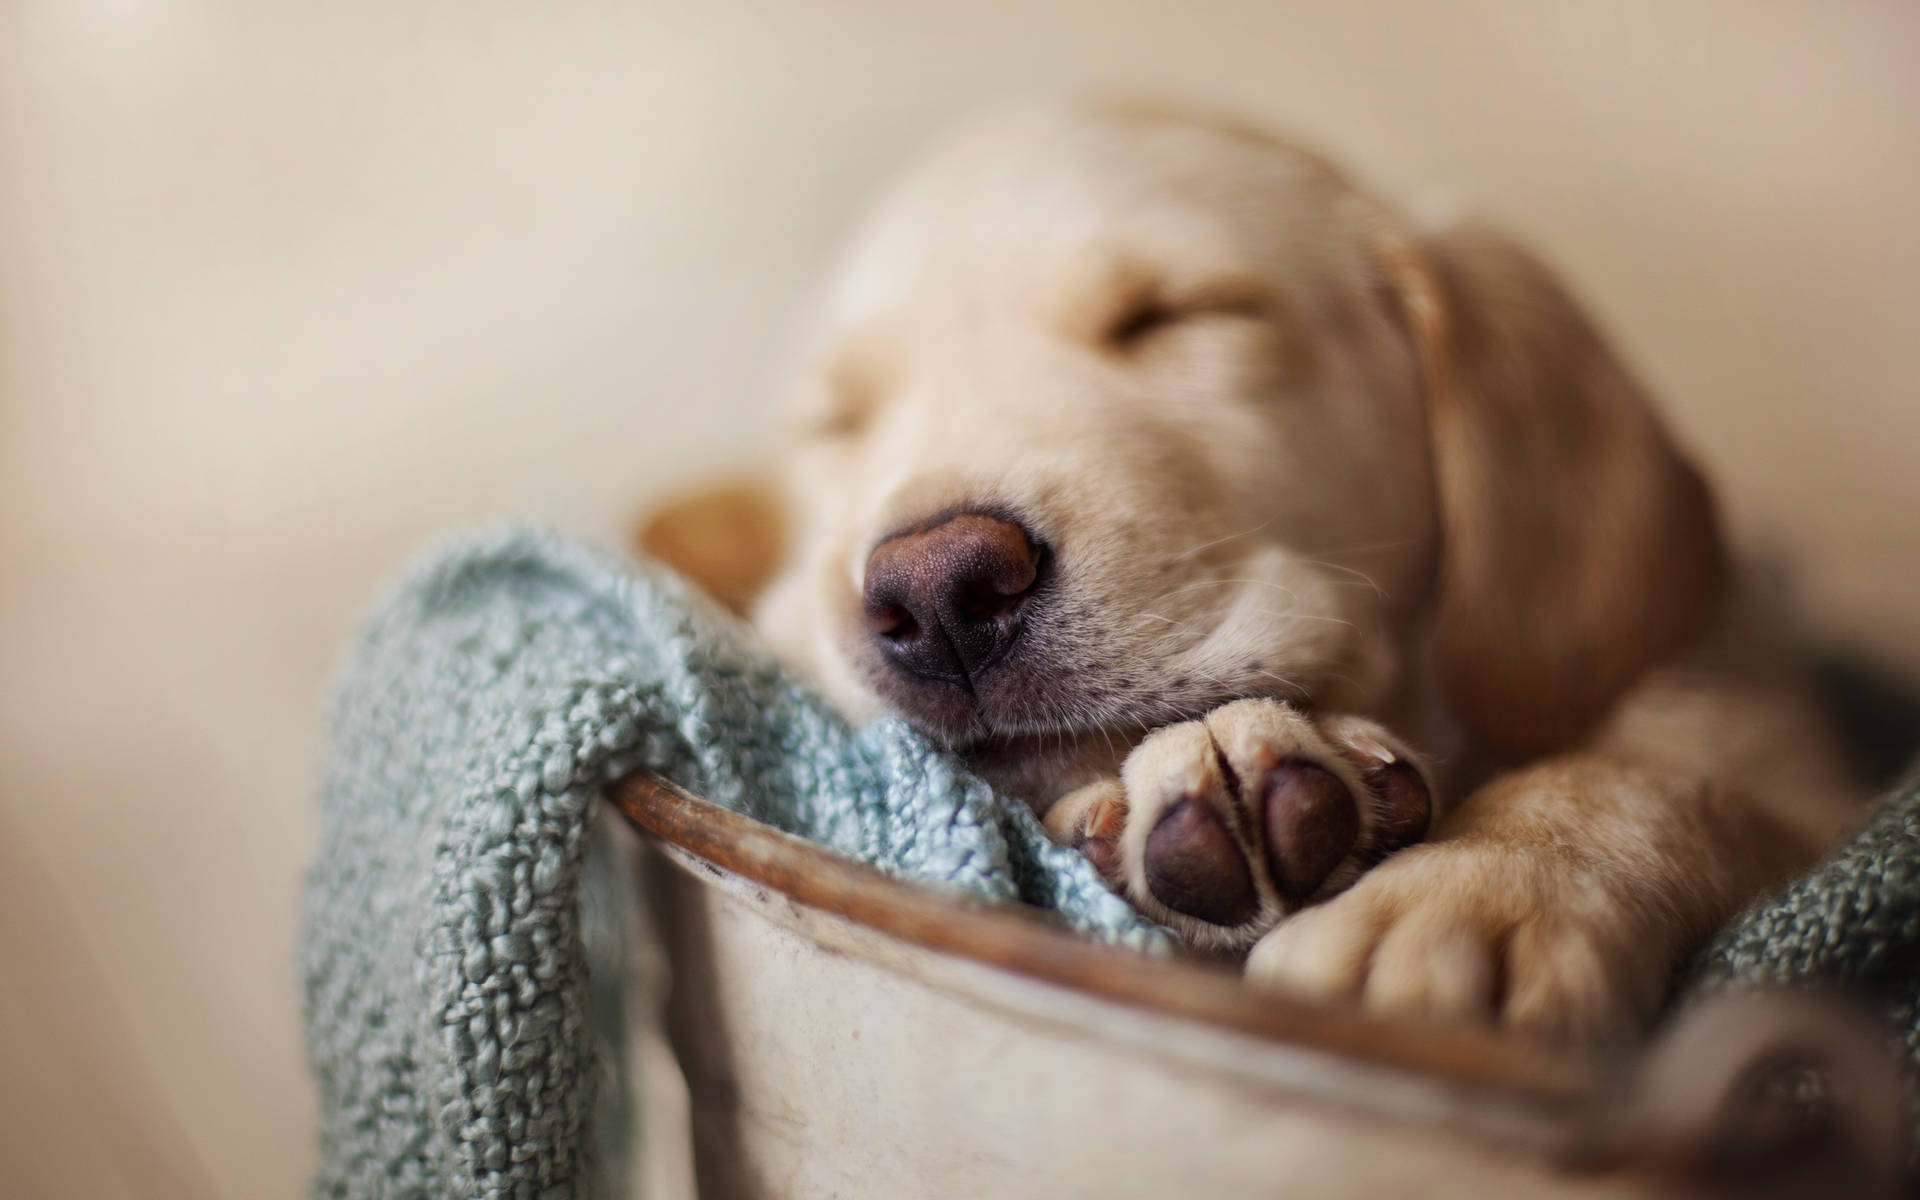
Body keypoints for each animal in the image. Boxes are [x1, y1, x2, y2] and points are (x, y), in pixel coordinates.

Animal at [637, 100, 1866, 1036]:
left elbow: (1651, 777)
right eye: (835, 422)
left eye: (1181, 315)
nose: (941, 591)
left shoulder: (1787, 749)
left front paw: (1474, 895)